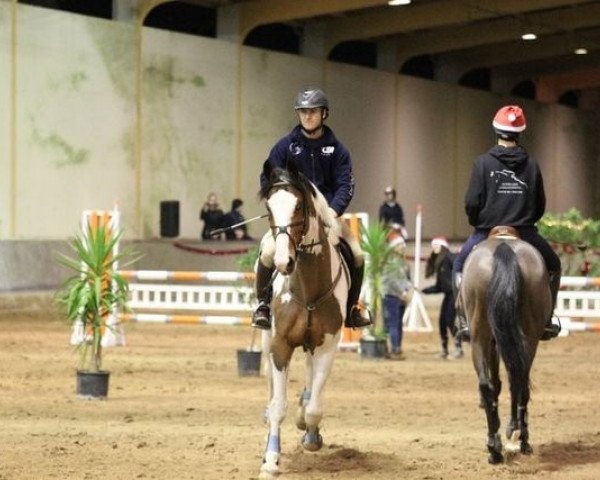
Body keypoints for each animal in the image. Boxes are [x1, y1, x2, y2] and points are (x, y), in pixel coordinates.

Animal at [256, 159, 350, 474]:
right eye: (270, 207)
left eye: (299, 206)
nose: (284, 262)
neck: (307, 288)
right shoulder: (281, 345)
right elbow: (278, 406)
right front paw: (271, 459)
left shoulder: (326, 346)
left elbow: (314, 408)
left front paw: (310, 435)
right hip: (267, 339)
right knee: (271, 388)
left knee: (310, 384)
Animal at [460, 231, 552, 464]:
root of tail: (504, 246)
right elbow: (508, 382)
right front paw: (513, 429)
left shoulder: (494, 343)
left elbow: (497, 382)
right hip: (527, 339)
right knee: (519, 382)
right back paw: (522, 439)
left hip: (481, 338)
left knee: (489, 385)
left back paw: (495, 446)